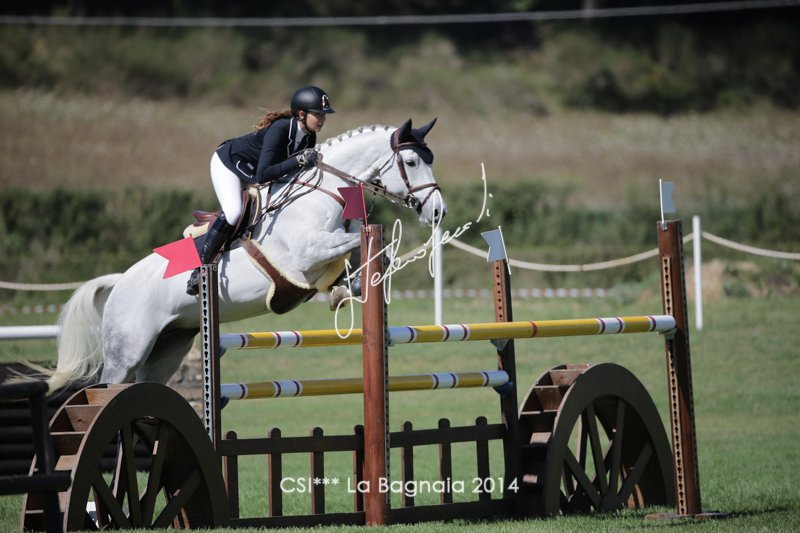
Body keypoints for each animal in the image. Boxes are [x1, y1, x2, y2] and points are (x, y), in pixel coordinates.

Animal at [44, 118, 446, 394]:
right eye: (412, 162)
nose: (437, 212)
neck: (325, 193)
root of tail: (120, 282)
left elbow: (370, 256)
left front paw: (348, 289)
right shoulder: (306, 254)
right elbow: (352, 247)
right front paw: (348, 288)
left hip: (168, 346)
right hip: (126, 350)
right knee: (109, 384)